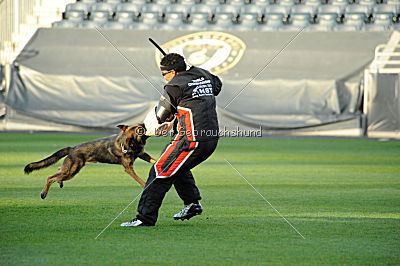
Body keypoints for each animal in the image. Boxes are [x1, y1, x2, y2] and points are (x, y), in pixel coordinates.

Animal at [23, 123, 155, 198]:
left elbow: (153, 160)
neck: (131, 143)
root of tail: (72, 148)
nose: (145, 123)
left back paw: (59, 182)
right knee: (50, 177)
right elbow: (140, 180)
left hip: (69, 170)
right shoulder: (129, 168)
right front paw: (145, 185)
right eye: (140, 129)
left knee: (58, 171)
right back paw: (44, 193)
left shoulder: (143, 154)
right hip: (71, 171)